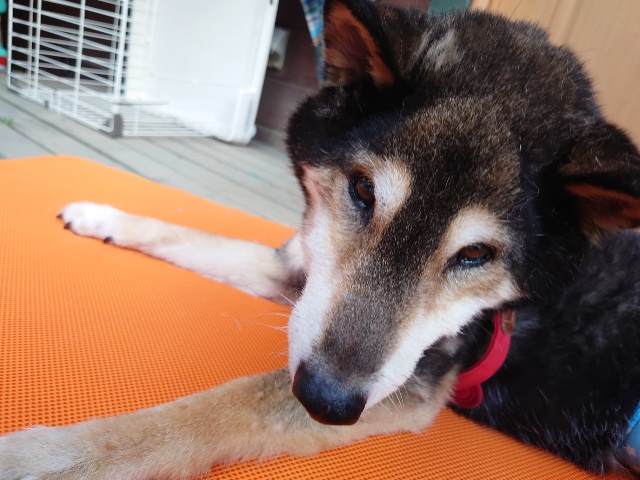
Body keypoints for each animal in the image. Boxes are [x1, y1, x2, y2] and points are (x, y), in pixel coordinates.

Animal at [2, 0, 640, 478]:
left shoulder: (413, 385)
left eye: (477, 254)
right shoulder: (302, 269)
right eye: (361, 190)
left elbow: (214, 411)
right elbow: (190, 234)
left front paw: (45, 459)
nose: (328, 400)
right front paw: (101, 215)